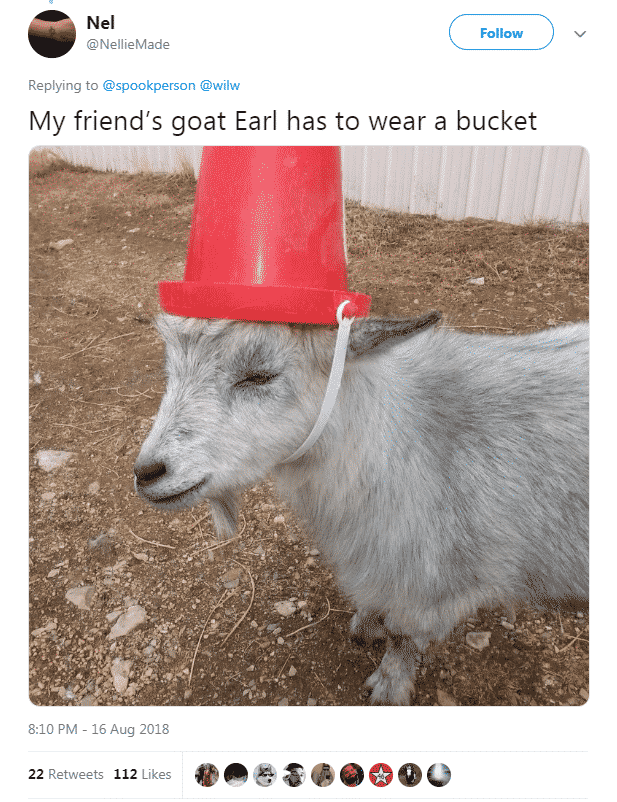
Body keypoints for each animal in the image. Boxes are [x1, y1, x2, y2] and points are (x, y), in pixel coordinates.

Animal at [134, 312, 589, 705]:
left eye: (259, 375)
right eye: (171, 371)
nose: (146, 473)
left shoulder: (438, 586)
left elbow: (404, 637)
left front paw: (388, 687)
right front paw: (366, 624)